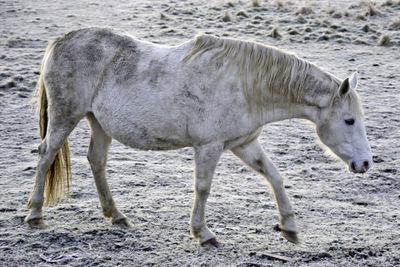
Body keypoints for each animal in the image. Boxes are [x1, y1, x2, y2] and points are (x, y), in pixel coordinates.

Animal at [26, 28, 374, 248]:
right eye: (349, 120)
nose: (366, 164)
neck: (246, 86)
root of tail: (61, 41)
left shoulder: (244, 144)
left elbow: (274, 177)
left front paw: (289, 227)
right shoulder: (209, 147)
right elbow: (203, 188)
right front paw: (203, 233)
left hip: (98, 122)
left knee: (96, 161)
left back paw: (116, 215)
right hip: (65, 117)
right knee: (46, 155)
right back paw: (35, 215)